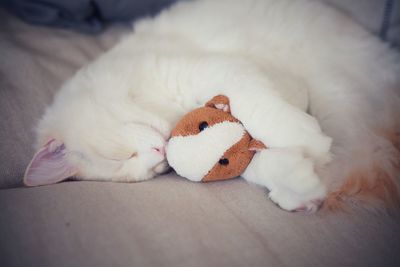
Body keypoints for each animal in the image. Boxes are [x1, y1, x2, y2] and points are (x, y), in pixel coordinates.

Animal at [24, 0, 400, 214]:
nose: (160, 155)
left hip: (334, 91)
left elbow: (266, 111)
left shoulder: (214, 70)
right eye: (148, 173)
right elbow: (253, 163)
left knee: (366, 153)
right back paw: (304, 195)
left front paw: (307, 141)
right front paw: (296, 177)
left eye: (121, 158)